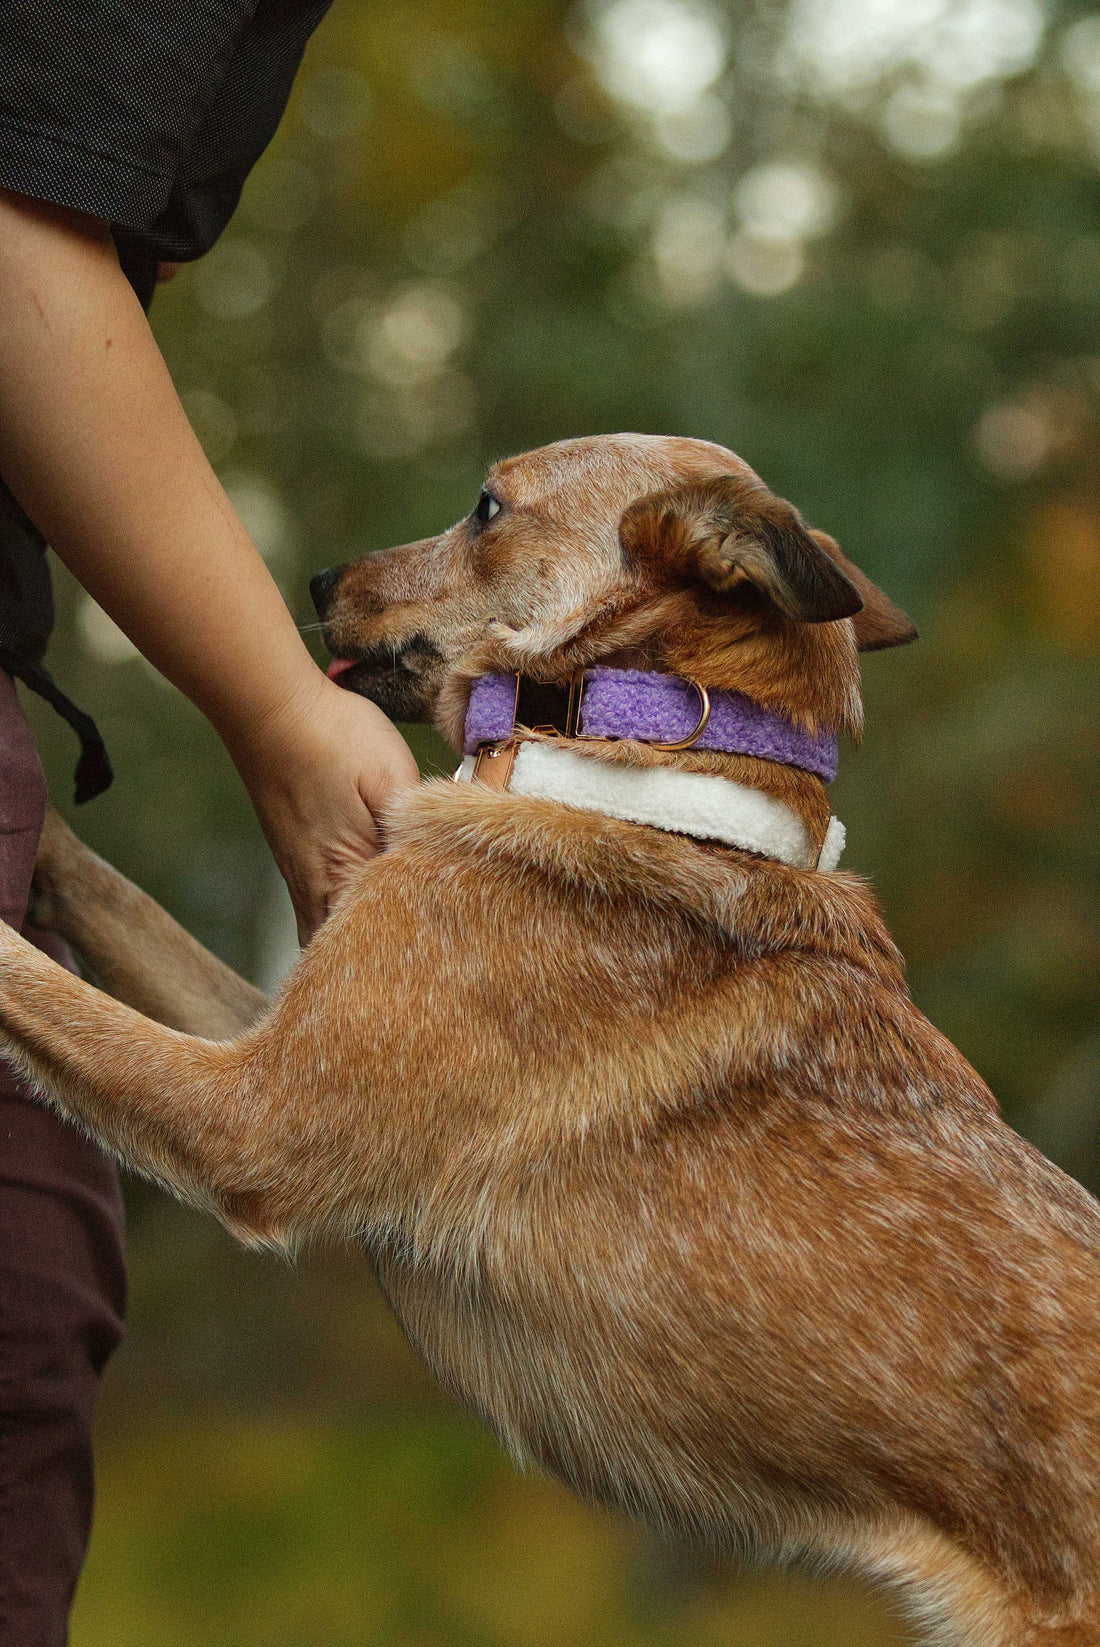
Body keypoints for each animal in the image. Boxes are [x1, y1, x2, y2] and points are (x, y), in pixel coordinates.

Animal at [2, 438, 1100, 1647]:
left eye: (486, 507)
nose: (320, 579)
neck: (636, 774)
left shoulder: (250, 1118)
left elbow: (34, 982)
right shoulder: (278, 1045)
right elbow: (116, 900)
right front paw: (47, 843)